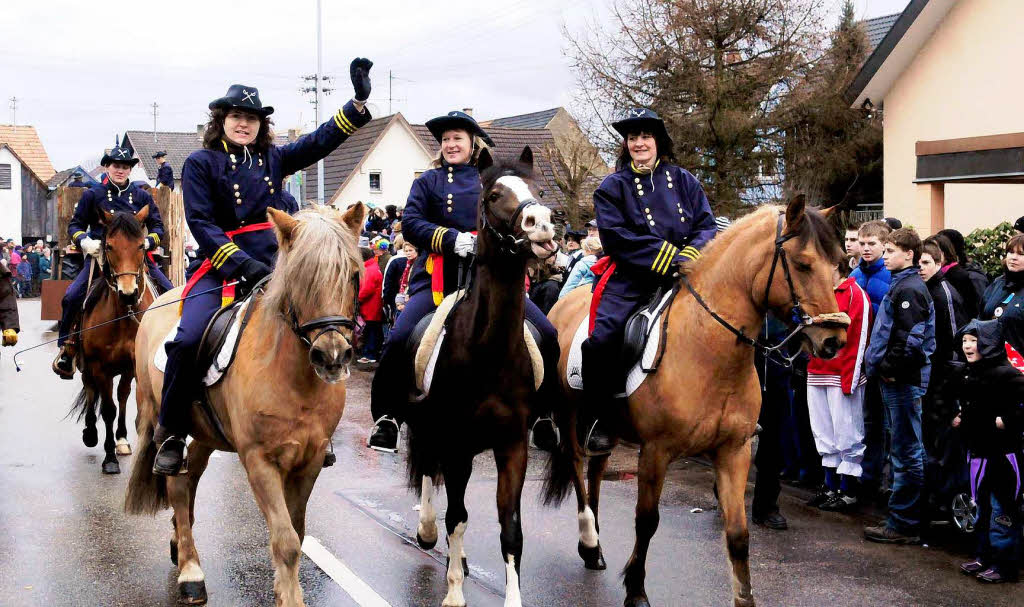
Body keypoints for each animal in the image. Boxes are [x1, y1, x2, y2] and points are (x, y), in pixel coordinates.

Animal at [69, 206, 155, 472]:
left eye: (141, 245)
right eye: (108, 246)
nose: (128, 294)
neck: (124, 316)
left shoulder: (135, 366)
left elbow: (132, 403)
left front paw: (123, 441)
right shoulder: (100, 367)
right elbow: (107, 409)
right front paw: (109, 459)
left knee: (123, 395)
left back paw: (122, 439)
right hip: (88, 366)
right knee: (90, 389)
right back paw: (90, 432)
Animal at [125, 204, 364, 605]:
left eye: (354, 274)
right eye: (298, 276)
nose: (332, 355)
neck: (293, 377)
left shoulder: (311, 459)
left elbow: (297, 532)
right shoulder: (259, 460)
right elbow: (286, 541)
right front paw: (290, 597)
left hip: (205, 432)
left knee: (190, 477)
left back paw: (178, 542)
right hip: (164, 421)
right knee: (177, 485)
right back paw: (190, 570)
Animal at [407, 148, 569, 605]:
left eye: (539, 190)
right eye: (494, 195)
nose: (543, 224)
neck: (488, 352)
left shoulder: (511, 445)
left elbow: (510, 528)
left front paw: (512, 596)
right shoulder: (457, 444)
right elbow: (457, 517)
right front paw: (454, 593)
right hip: (427, 429)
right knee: (428, 475)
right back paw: (428, 533)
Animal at [544, 198, 847, 605]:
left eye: (840, 264)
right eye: (802, 264)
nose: (834, 340)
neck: (708, 350)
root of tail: (562, 303)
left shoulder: (734, 451)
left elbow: (738, 533)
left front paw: (745, 597)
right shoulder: (656, 451)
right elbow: (647, 520)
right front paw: (636, 589)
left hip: (607, 427)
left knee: (596, 469)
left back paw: (594, 549)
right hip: (569, 412)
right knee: (577, 465)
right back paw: (589, 541)